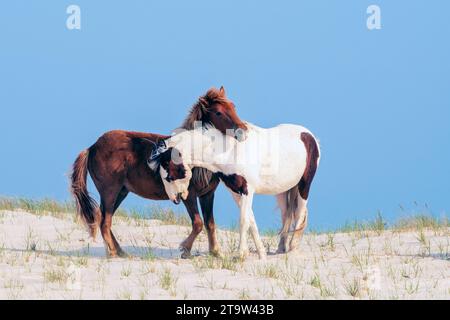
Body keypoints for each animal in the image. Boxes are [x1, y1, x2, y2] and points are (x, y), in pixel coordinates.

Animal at [70, 87, 246, 258]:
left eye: (233, 106)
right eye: (218, 112)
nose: (243, 130)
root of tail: (92, 148)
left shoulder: (207, 195)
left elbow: (210, 224)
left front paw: (215, 252)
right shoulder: (188, 195)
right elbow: (198, 223)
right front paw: (185, 249)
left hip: (121, 192)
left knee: (104, 218)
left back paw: (120, 251)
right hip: (110, 192)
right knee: (105, 222)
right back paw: (113, 252)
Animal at [150, 123, 320, 260]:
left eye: (169, 177)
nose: (175, 199)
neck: (229, 153)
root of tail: (309, 135)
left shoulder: (247, 191)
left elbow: (244, 220)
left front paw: (241, 254)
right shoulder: (236, 192)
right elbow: (251, 221)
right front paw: (261, 255)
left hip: (304, 185)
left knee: (300, 214)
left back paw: (292, 249)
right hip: (282, 191)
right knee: (287, 215)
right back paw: (281, 248)